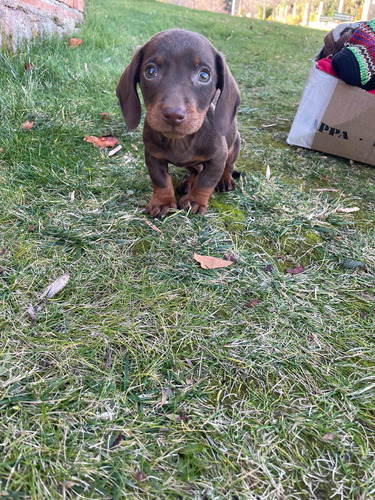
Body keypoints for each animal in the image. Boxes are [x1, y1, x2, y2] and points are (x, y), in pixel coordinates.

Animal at [116, 28, 242, 217]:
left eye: (204, 75)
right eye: (150, 72)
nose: (173, 114)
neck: (180, 141)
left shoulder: (218, 156)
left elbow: (206, 180)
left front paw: (195, 201)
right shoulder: (152, 155)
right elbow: (160, 180)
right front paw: (162, 201)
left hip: (235, 144)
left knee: (228, 165)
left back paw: (225, 179)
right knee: (197, 170)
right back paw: (189, 181)